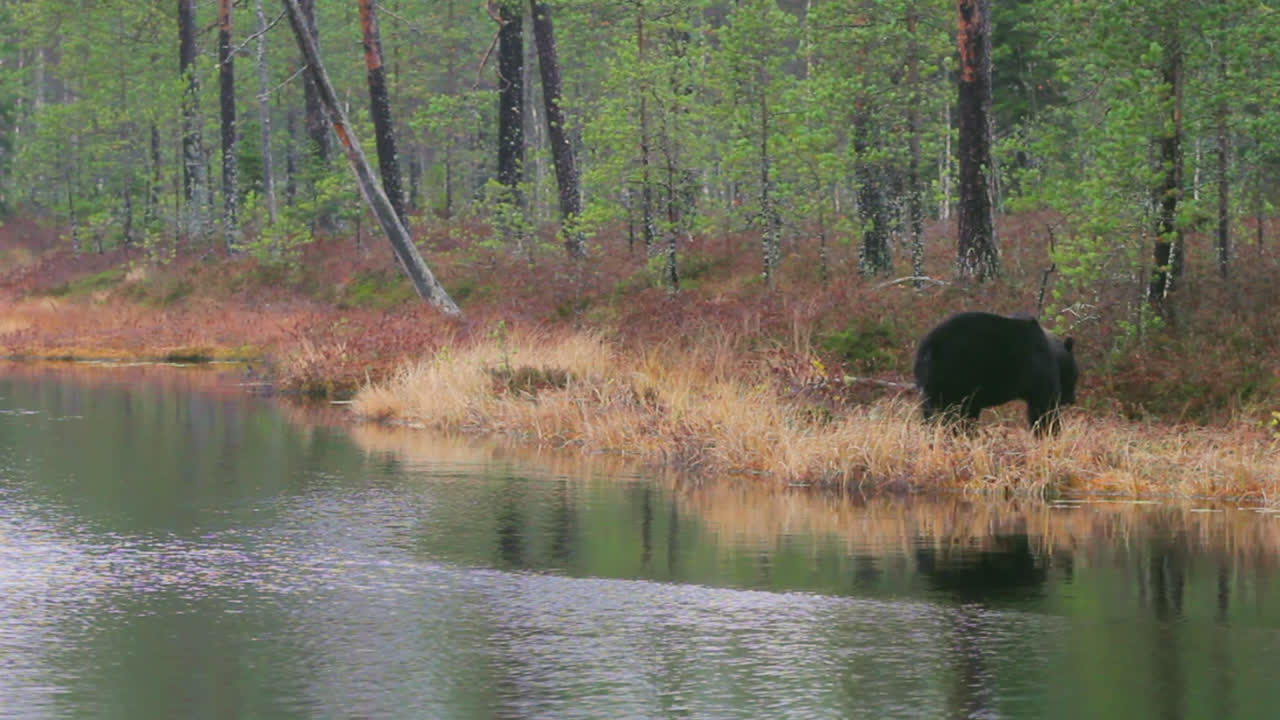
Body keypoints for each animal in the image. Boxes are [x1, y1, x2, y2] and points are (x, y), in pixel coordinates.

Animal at [913, 311, 1077, 435]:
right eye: (1075, 376)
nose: (1071, 400)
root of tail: (929, 347)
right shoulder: (1039, 367)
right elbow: (1044, 406)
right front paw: (1049, 433)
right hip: (955, 375)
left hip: (931, 385)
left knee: (932, 412)